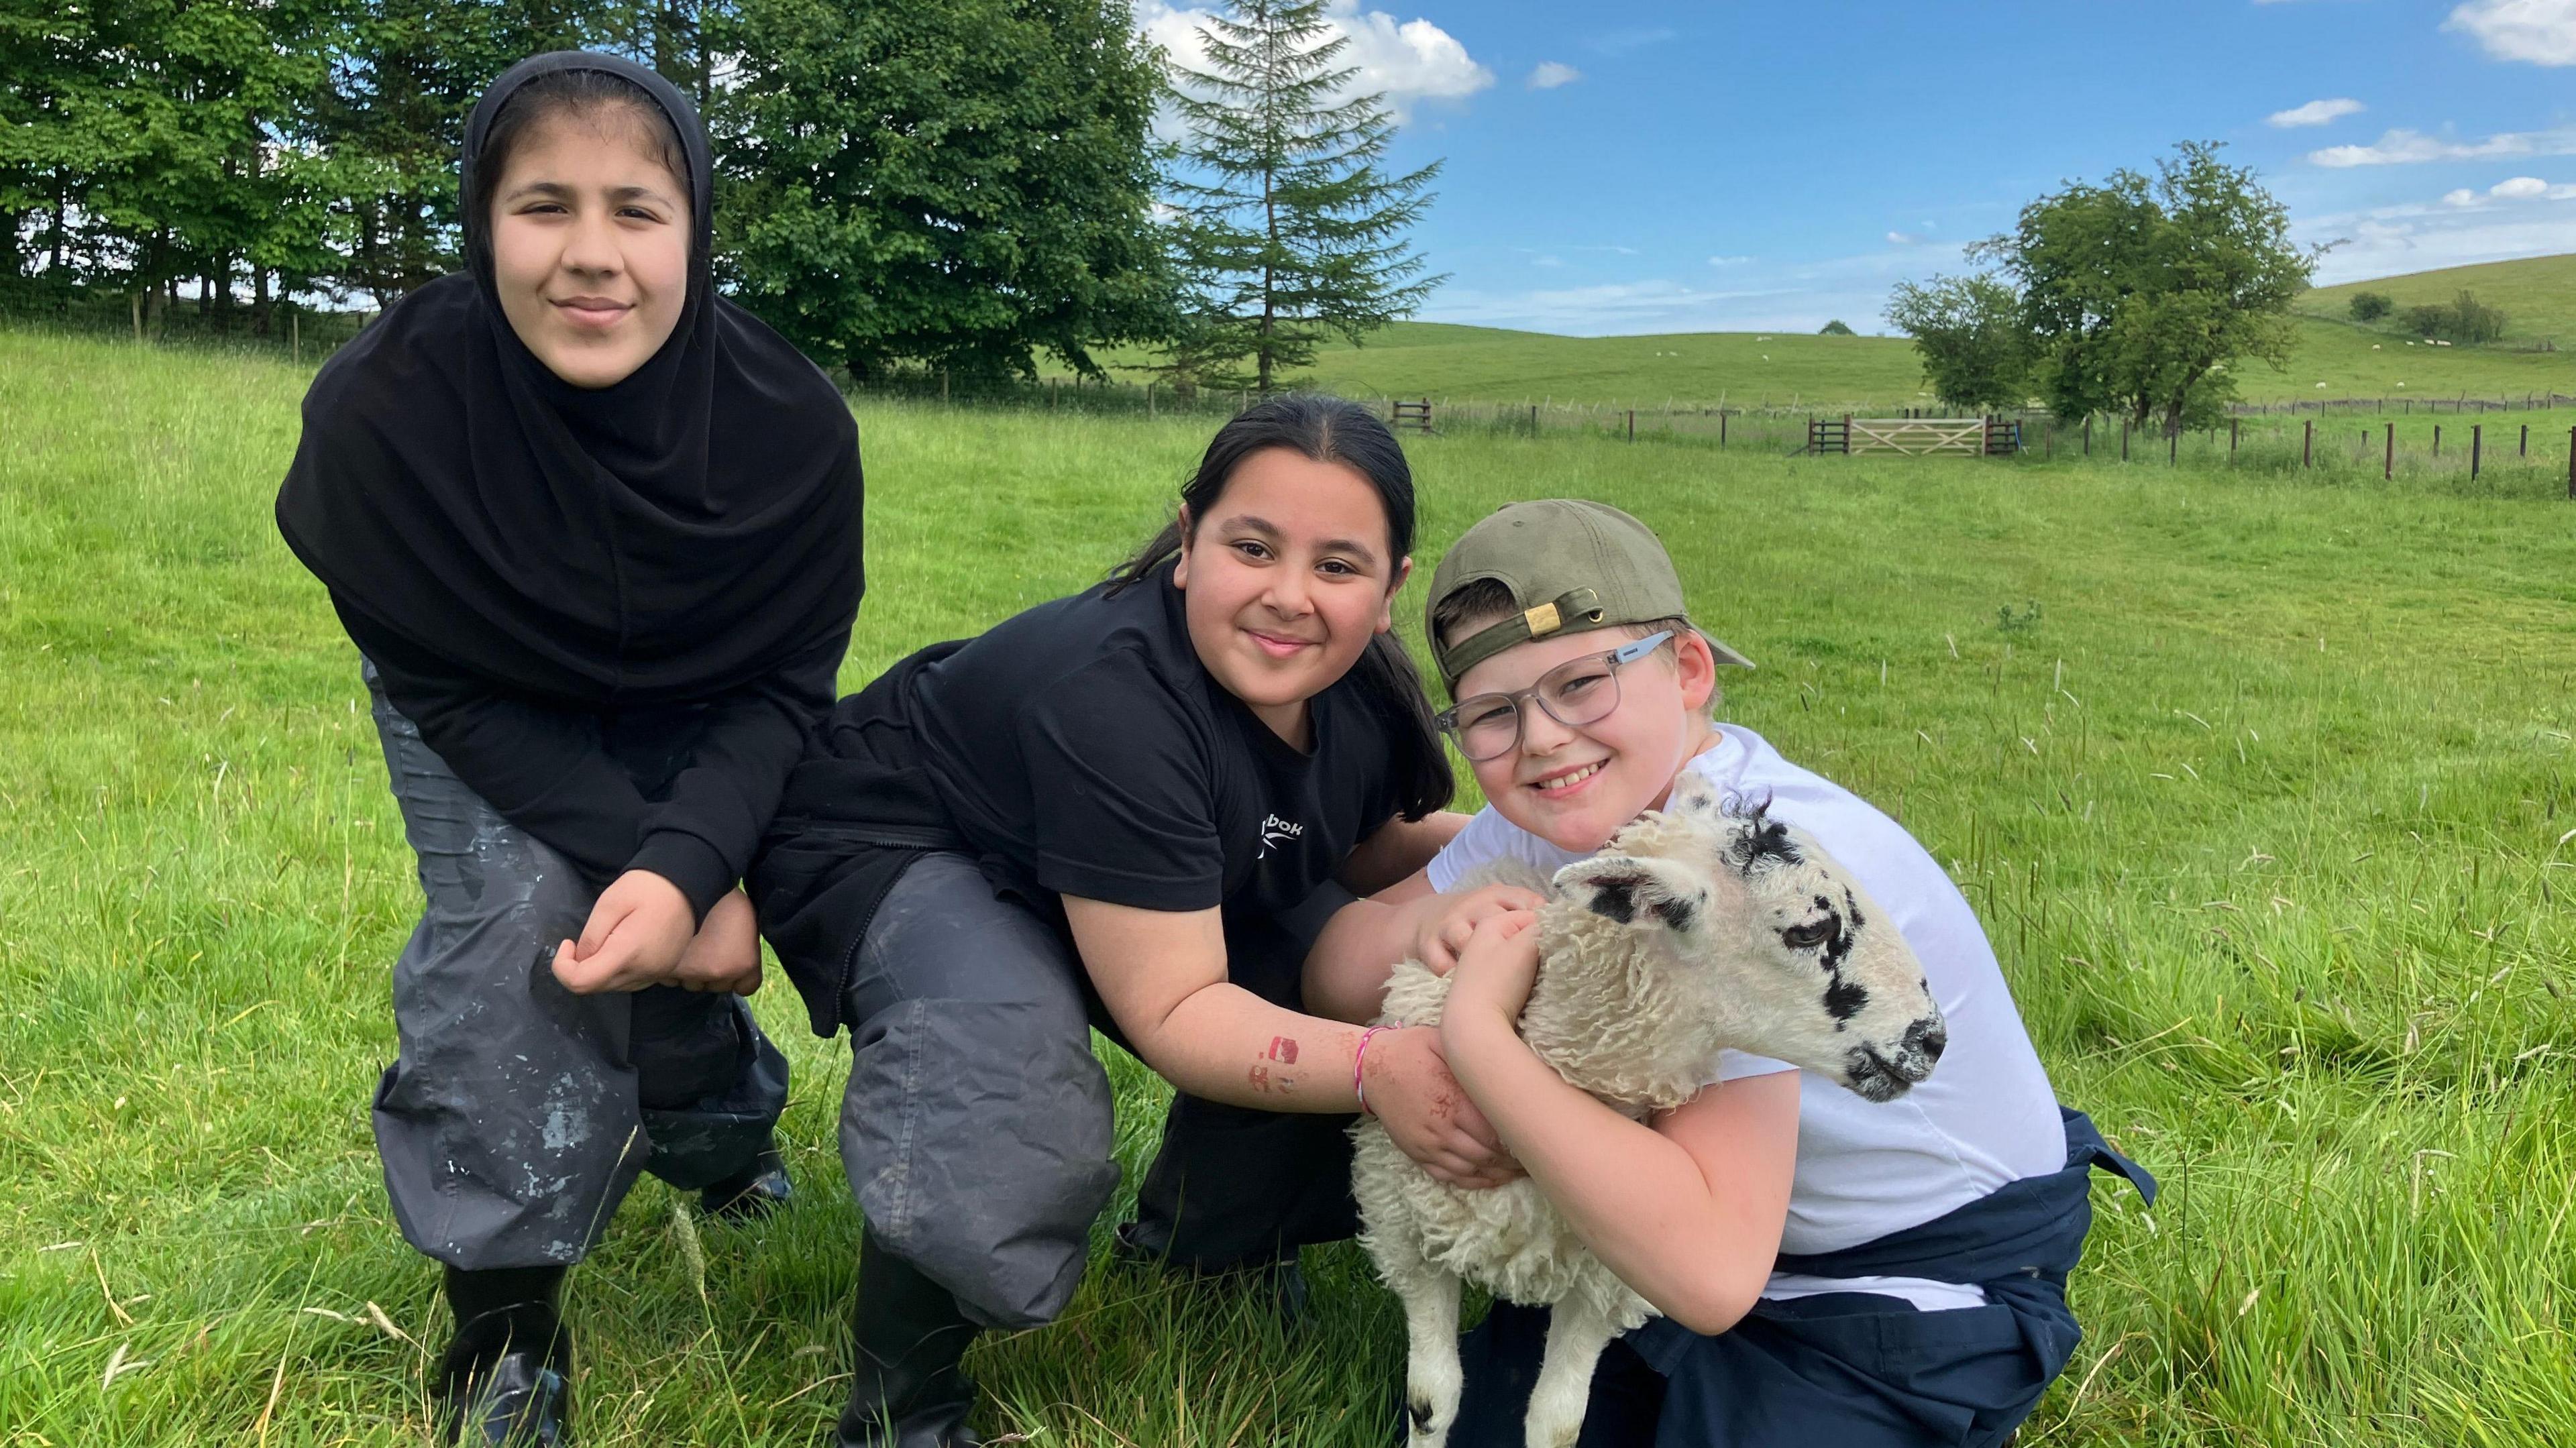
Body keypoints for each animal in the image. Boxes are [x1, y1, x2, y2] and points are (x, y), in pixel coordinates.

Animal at [1350, 773, 1947, 1443]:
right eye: (1809, 931)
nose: (1934, 1039)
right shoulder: (1407, 1235)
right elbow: (1433, 1398)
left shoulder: (1604, 1283)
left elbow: (1557, 1422)